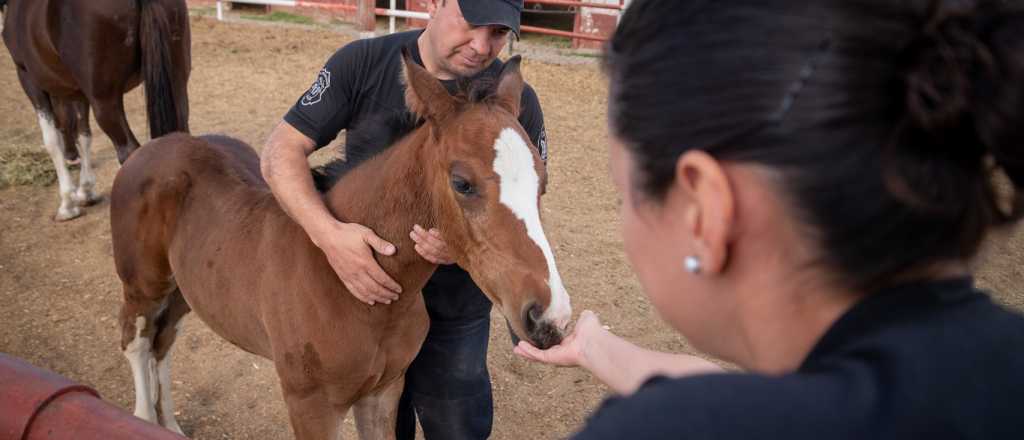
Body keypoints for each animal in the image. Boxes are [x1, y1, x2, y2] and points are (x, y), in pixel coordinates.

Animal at [2, 0, 191, 220]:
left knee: (129, 151)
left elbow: (52, 141)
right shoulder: (78, 91)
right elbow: (83, 134)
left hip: (105, 102)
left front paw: (68, 204)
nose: (71, 157)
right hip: (177, 82)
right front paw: (86, 191)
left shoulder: (30, 79)